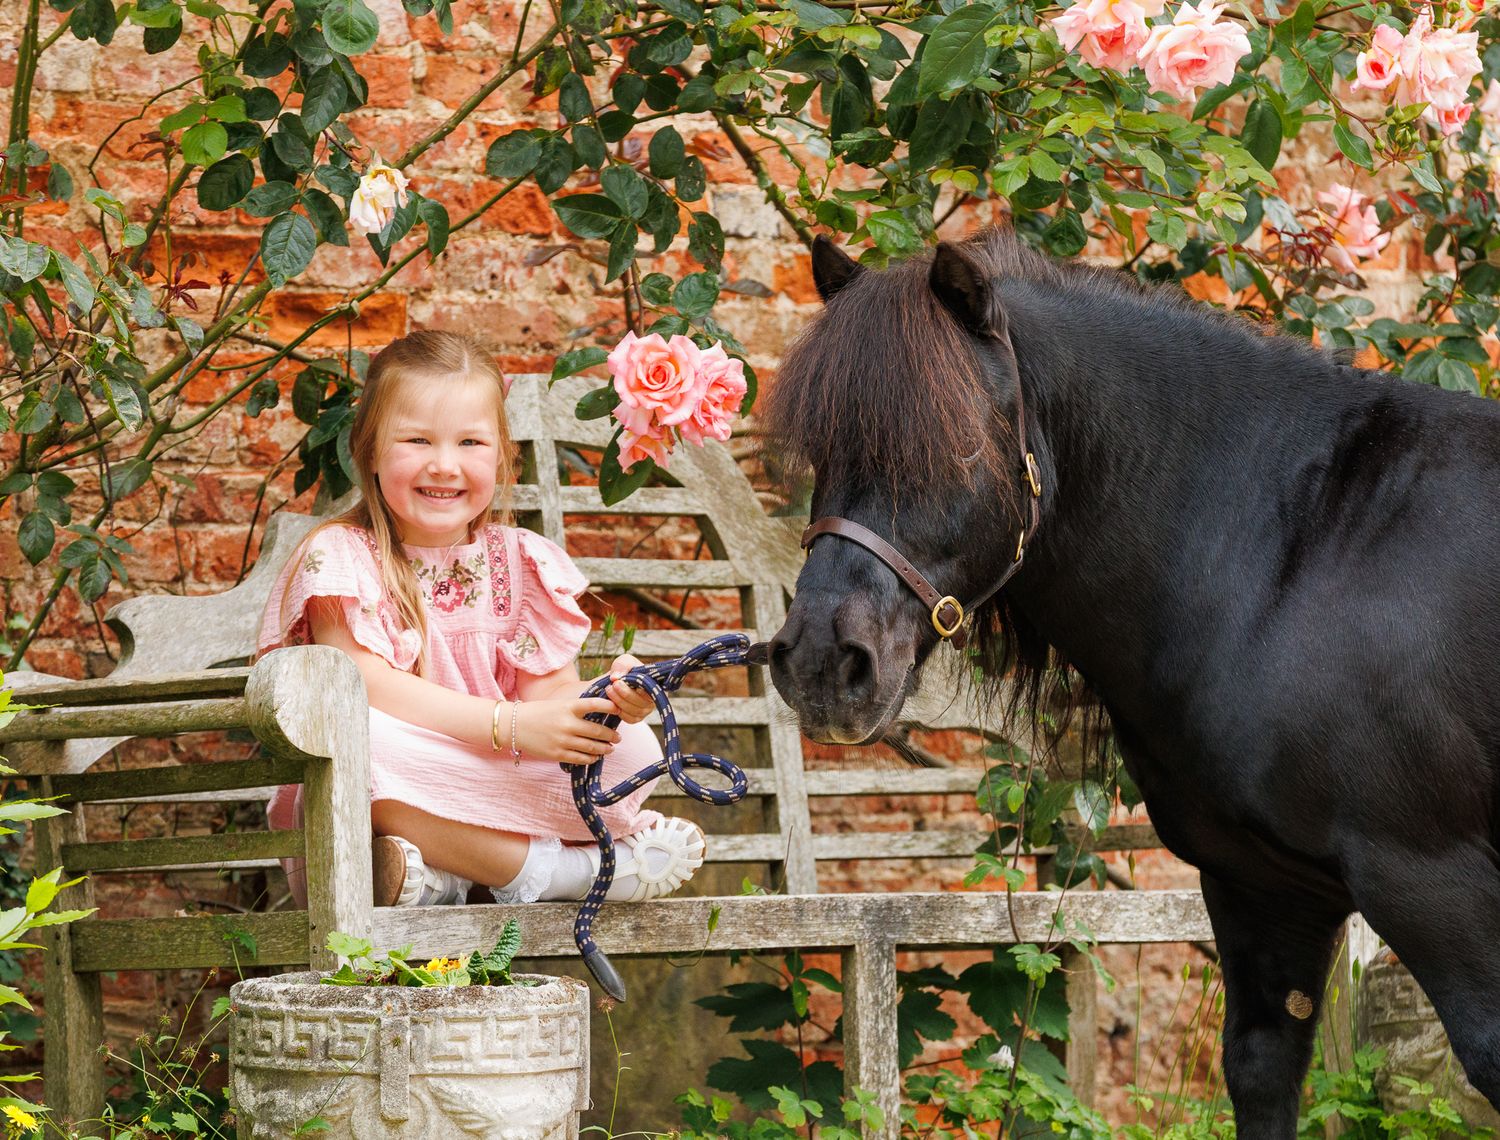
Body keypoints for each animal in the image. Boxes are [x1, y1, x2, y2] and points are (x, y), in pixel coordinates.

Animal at [762, 227, 1500, 1136]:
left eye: (956, 446)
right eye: (825, 450)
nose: (821, 663)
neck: (1301, 545)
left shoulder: (1436, 883)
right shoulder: (1266, 890)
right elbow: (1262, 1071)